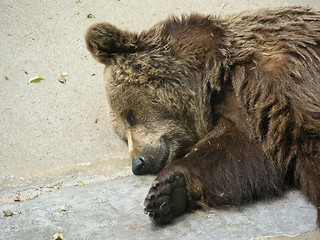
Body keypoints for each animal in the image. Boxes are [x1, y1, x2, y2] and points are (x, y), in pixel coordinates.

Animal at [85, 6, 320, 227]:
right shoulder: (246, 113)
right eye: (123, 135)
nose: (138, 163)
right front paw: (168, 191)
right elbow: (237, 153)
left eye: (130, 116)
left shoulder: (285, 80)